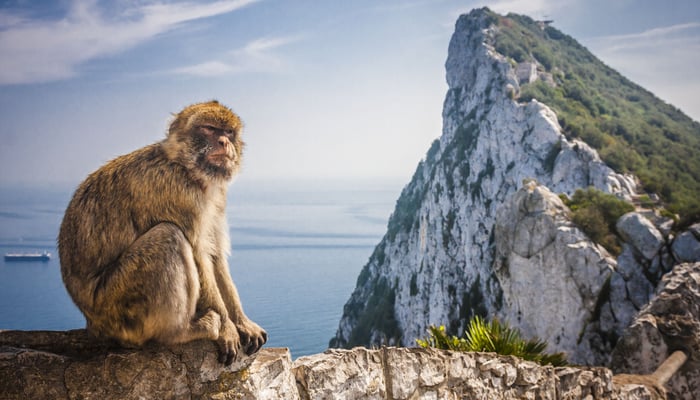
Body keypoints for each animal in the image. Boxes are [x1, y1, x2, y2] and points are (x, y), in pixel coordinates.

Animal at [58, 100, 266, 365]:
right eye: (209, 128)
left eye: (228, 132)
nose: (224, 142)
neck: (185, 168)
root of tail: (92, 324)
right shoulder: (178, 192)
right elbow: (199, 255)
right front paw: (228, 329)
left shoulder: (216, 198)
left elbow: (215, 255)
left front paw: (242, 322)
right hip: (116, 307)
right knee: (168, 236)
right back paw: (181, 332)